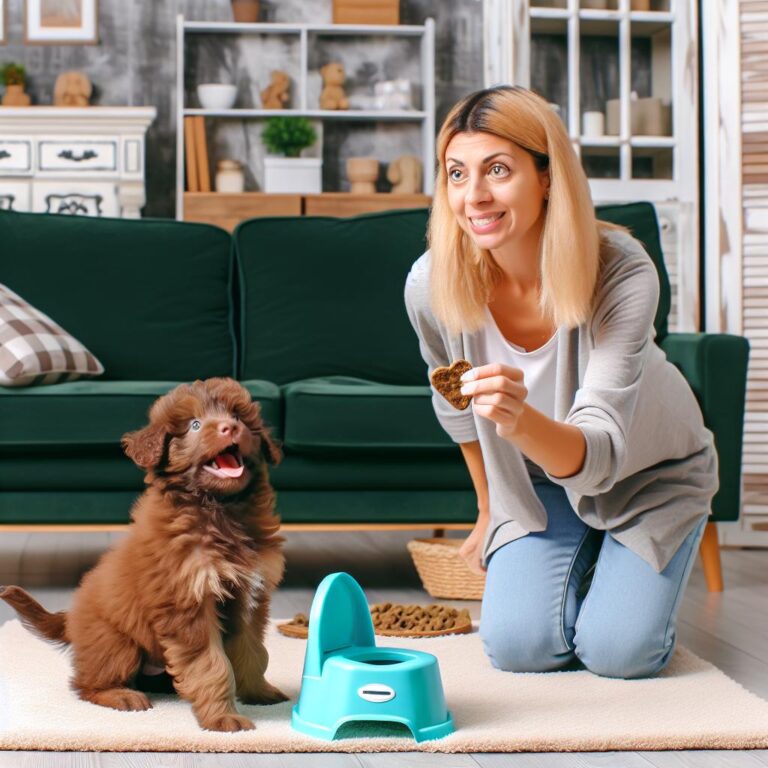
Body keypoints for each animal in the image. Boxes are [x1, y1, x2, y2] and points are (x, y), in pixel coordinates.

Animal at [0, 378, 288, 732]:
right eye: (194, 424)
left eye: (239, 417)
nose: (230, 427)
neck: (221, 509)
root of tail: (68, 620)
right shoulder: (189, 604)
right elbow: (212, 663)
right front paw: (223, 717)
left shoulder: (250, 593)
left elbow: (253, 650)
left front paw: (258, 692)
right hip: (116, 644)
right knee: (85, 685)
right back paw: (121, 696)